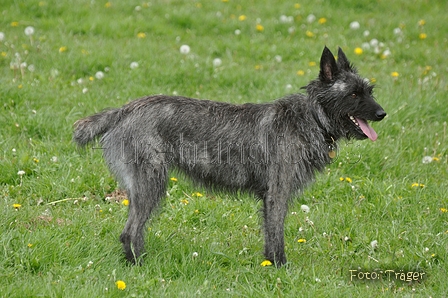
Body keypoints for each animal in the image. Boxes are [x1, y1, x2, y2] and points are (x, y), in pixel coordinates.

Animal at [72, 47, 384, 268]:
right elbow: (277, 235)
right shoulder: (277, 194)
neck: (310, 117)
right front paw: (280, 268)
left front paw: (268, 264)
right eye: (353, 94)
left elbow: (269, 235)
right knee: (130, 232)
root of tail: (125, 109)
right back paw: (139, 266)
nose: (383, 113)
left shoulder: (270, 197)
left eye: (368, 90)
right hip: (151, 185)